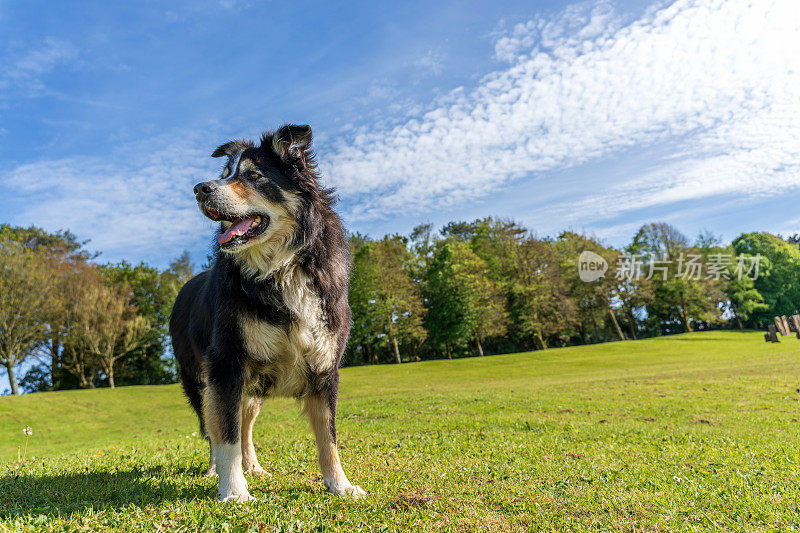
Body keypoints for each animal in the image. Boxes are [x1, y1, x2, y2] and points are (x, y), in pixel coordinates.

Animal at [172, 122, 366, 500]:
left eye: (253, 175)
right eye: (225, 175)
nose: (200, 188)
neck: (283, 267)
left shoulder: (324, 368)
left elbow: (329, 436)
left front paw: (340, 485)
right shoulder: (226, 365)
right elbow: (225, 434)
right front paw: (234, 491)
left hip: (253, 386)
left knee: (245, 425)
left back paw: (254, 467)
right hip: (201, 381)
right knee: (214, 427)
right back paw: (216, 470)